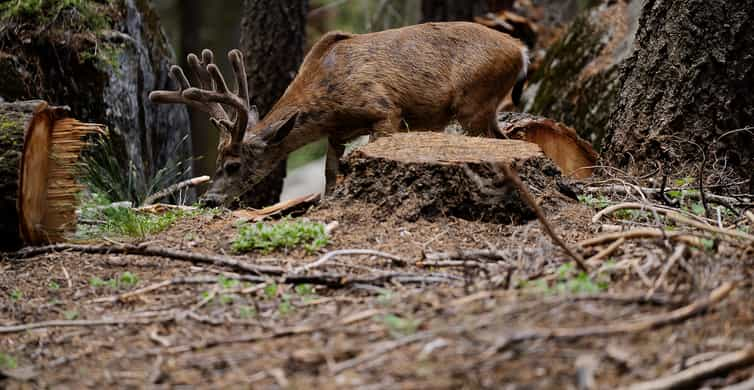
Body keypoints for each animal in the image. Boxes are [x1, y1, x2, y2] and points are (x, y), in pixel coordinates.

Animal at [150, 21, 524, 207]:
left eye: (233, 165)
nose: (210, 200)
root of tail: (520, 50)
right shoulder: (336, 132)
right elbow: (330, 172)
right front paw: (327, 202)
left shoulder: (385, 110)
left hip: (473, 100)